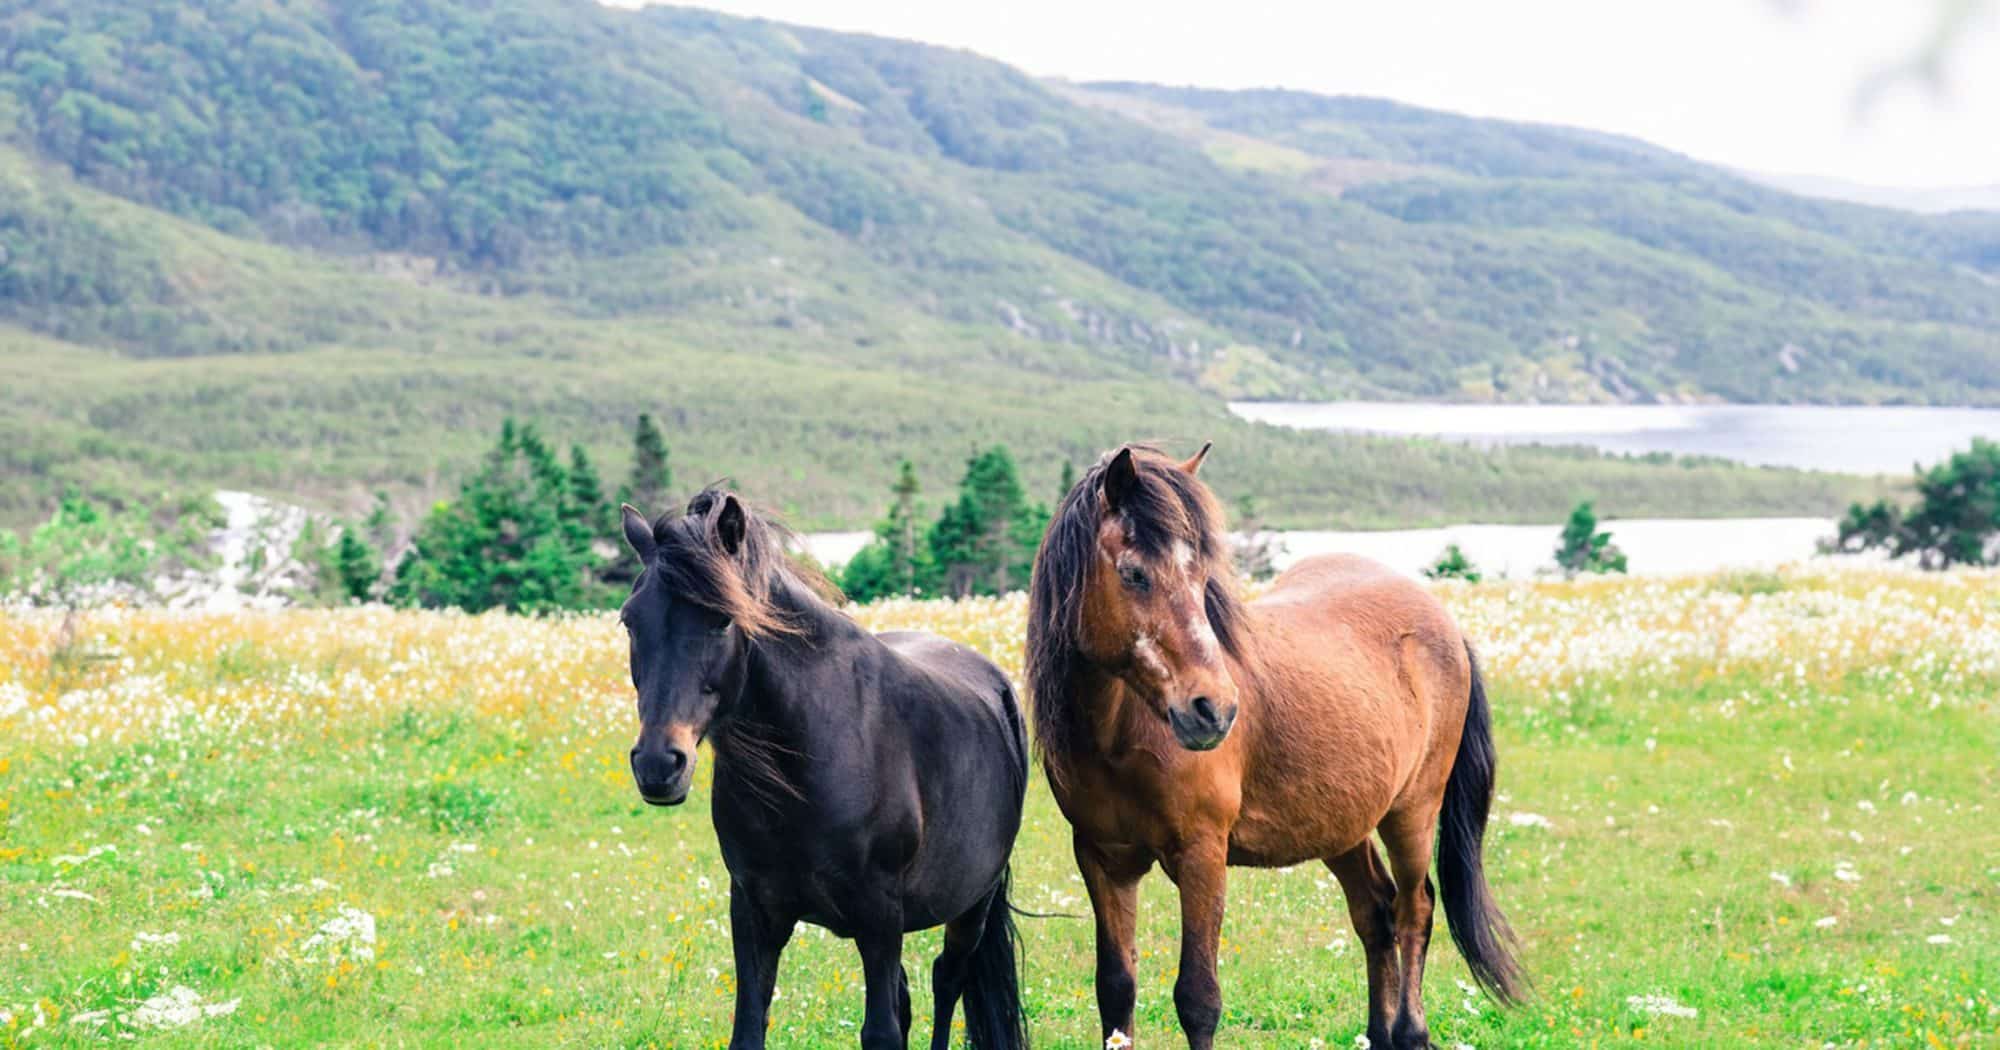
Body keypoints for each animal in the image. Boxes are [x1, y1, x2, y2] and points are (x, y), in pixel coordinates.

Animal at [620, 492, 1032, 1048]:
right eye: (630, 621)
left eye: (723, 620)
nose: (659, 763)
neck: (809, 762)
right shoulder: (754, 909)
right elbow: (749, 1028)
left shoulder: (879, 916)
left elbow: (882, 1030)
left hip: (972, 904)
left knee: (948, 980)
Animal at [1032, 444, 1512, 1048]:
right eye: (1134, 574)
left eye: (1201, 579)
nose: (1213, 709)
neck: (1121, 733)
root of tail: (1441, 618)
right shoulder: (1103, 860)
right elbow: (1116, 989)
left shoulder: (1203, 855)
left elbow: (1198, 999)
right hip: (1343, 824)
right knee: (1375, 911)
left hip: (1413, 812)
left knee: (1415, 909)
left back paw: (1410, 1031)